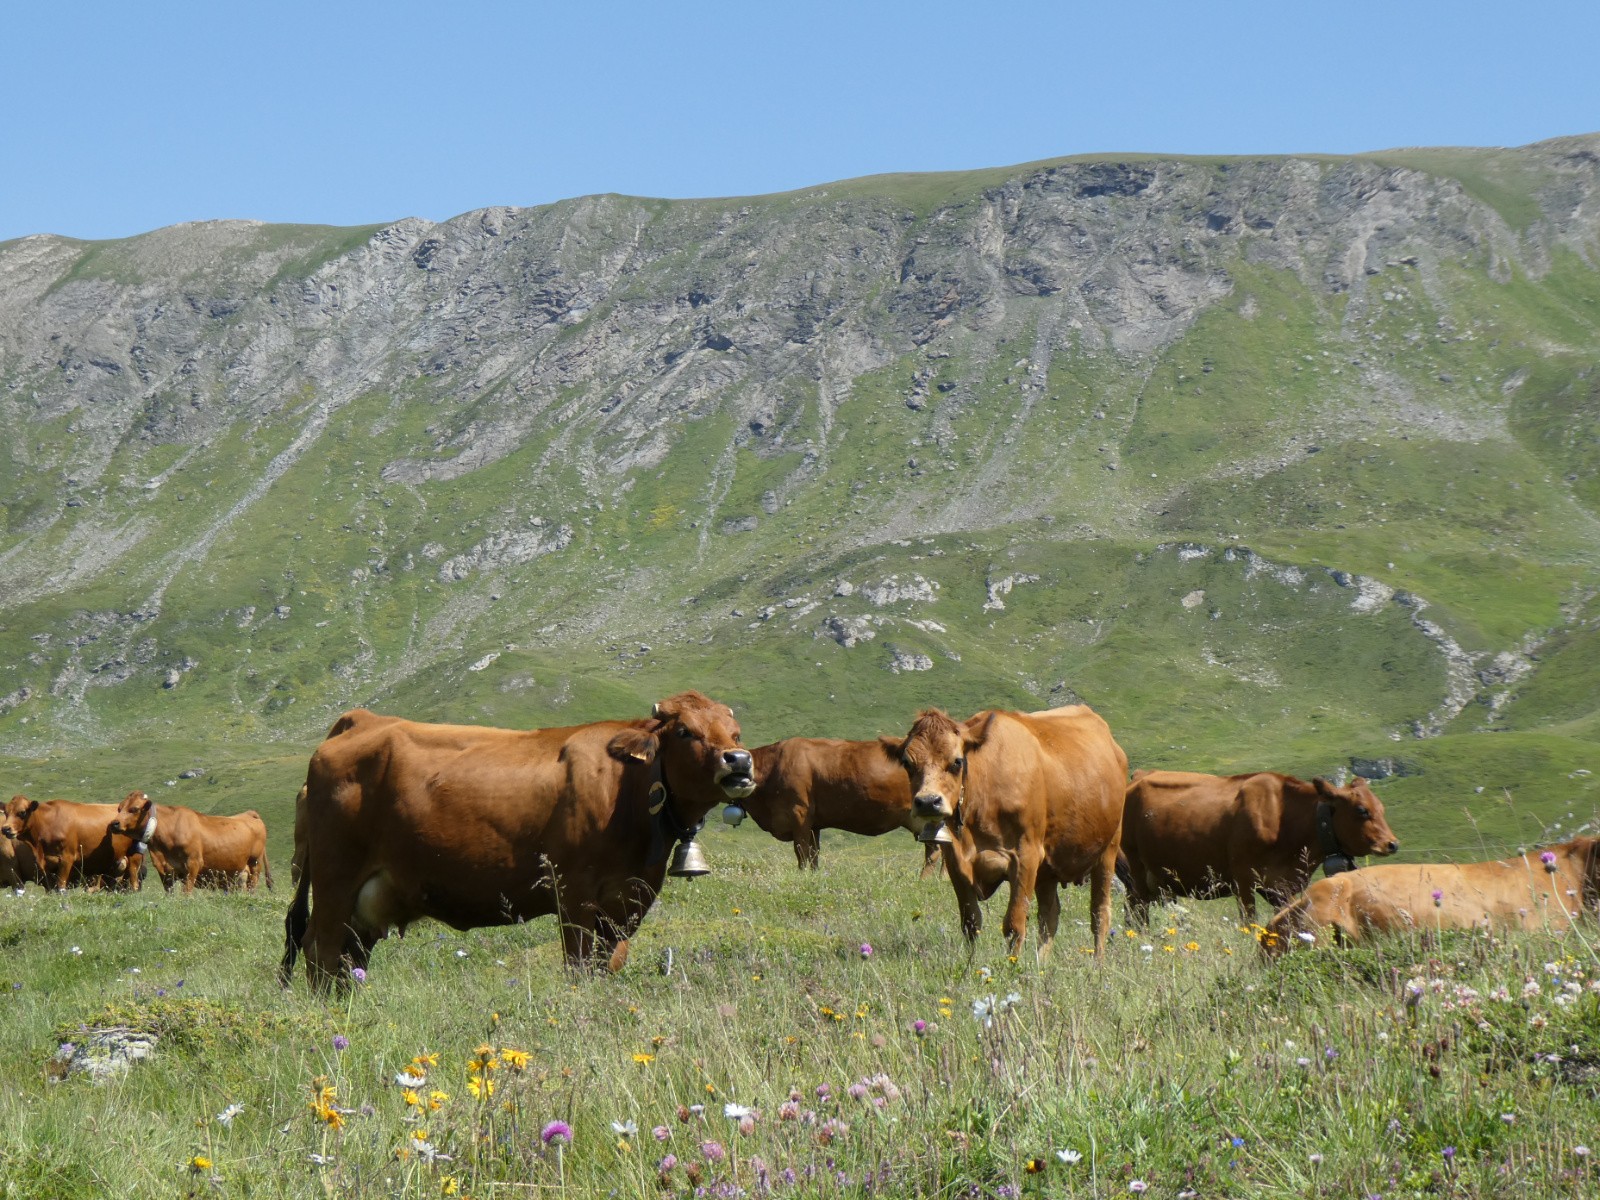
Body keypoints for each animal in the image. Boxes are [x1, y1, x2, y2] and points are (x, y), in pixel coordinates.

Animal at [0, 793, 147, 889]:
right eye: (6, 812)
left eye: (22, 812)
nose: (6, 829)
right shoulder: (47, 866)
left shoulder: (67, 858)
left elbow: (61, 886)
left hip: (134, 858)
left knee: (133, 882)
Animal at [116, 793, 272, 896]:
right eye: (119, 808)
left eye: (134, 809)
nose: (114, 823)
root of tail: (249, 814)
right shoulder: (163, 868)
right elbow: (169, 892)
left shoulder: (193, 863)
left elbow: (186, 891)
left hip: (255, 863)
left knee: (253, 884)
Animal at [742, 732, 940, 876]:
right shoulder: (814, 824)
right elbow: (813, 854)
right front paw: (814, 876)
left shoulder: (798, 814)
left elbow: (802, 852)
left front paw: (802, 876)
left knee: (934, 851)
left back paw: (924, 881)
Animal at [889, 704, 1126, 960]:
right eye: (907, 763)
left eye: (957, 762)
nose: (927, 802)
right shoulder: (956, 861)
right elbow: (971, 923)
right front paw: (971, 964)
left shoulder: (1025, 856)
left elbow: (1014, 924)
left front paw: (1011, 965)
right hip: (1047, 870)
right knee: (1049, 915)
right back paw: (1040, 964)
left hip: (1107, 851)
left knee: (1099, 913)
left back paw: (1097, 962)